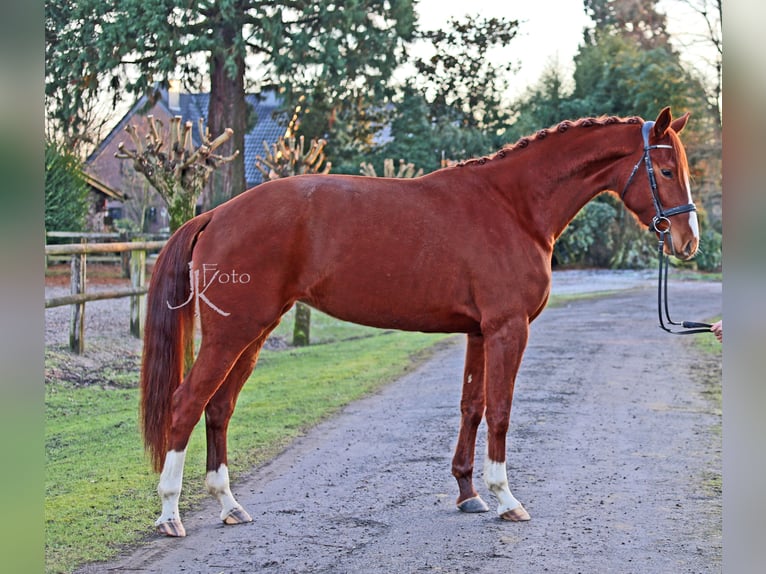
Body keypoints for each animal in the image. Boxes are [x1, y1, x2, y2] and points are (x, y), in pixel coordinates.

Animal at [140, 109, 704, 540]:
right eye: (666, 170)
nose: (689, 241)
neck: (513, 207)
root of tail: (215, 215)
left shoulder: (480, 331)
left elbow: (473, 408)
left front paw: (468, 493)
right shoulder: (508, 329)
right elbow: (501, 412)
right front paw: (505, 498)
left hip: (252, 334)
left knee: (219, 408)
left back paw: (229, 505)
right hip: (232, 334)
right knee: (187, 404)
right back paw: (169, 514)